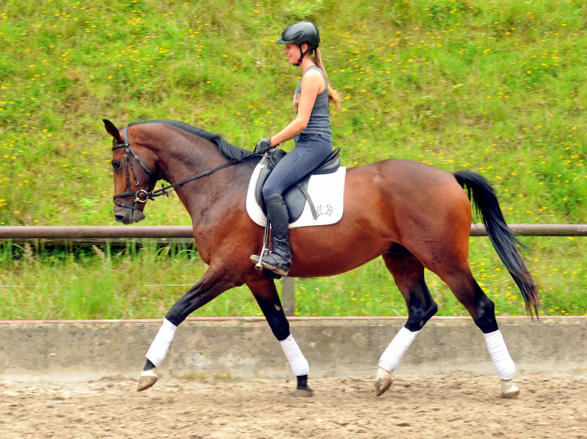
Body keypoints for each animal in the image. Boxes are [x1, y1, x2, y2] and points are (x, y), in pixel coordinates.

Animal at [103, 118, 540, 400]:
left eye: (115, 163)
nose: (123, 215)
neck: (219, 184)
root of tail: (448, 177)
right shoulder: (256, 276)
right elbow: (279, 325)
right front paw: (302, 380)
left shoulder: (227, 270)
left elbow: (177, 309)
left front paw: (147, 372)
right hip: (401, 257)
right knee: (421, 308)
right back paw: (382, 376)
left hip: (443, 258)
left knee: (480, 306)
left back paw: (508, 383)